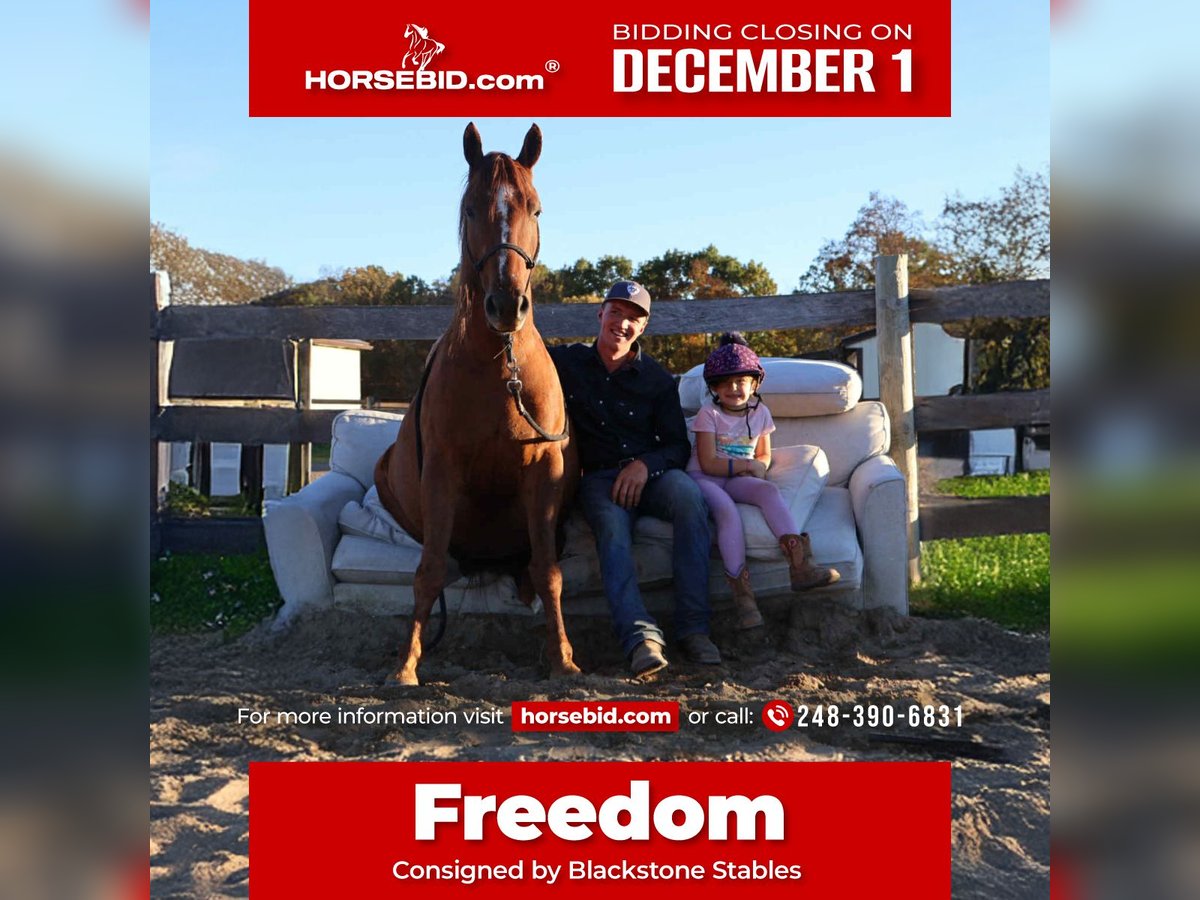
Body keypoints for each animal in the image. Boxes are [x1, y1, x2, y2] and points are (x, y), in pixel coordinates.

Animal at [374, 123, 580, 686]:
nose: (506, 305)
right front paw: (405, 665)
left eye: (536, 209)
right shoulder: (441, 473)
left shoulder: (544, 473)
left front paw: (563, 658)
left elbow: (549, 572)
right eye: (469, 209)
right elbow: (427, 574)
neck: (499, 369)